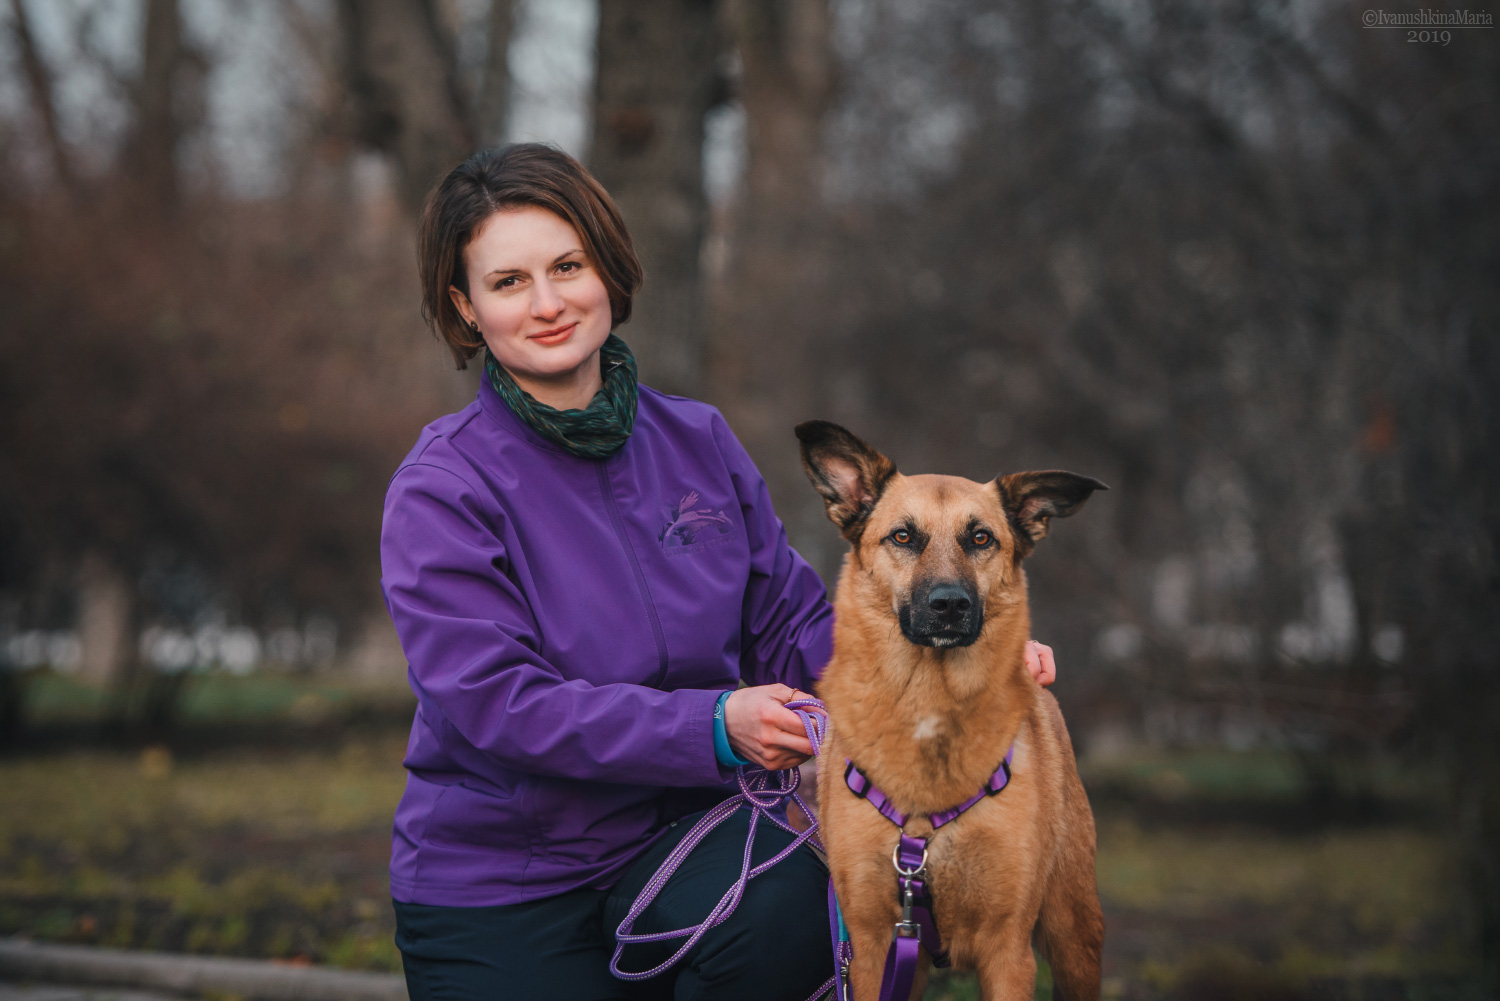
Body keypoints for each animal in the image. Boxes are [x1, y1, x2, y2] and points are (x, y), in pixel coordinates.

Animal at [798, 420, 1116, 1001]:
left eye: (981, 538)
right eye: (903, 537)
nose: (949, 604)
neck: (932, 698)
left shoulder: (1008, 954)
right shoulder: (872, 949)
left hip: (1075, 934)